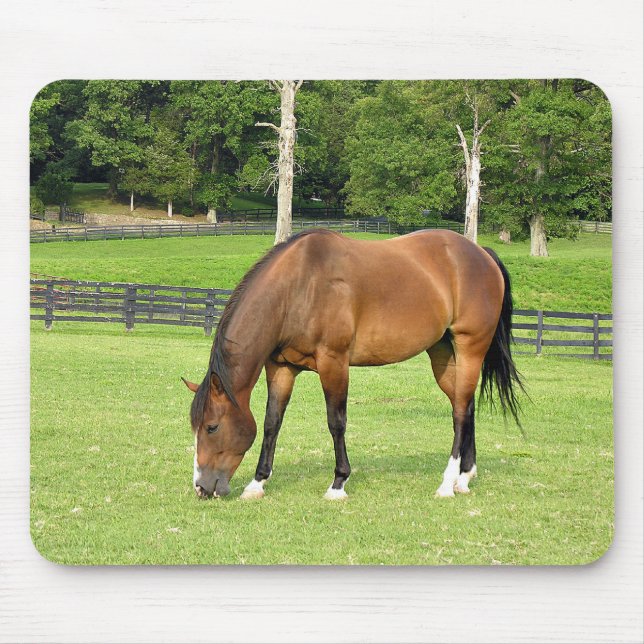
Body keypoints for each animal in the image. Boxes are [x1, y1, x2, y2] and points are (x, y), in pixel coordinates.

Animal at [182, 228, 523, 500]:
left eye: (212, 427)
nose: (201, 487)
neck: (299, 288)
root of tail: (481, 254)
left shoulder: (334, 363)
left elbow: (336, 422)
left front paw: (338, 483)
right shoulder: (281, 368)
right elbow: (271, 423)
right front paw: (257, 483)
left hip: (470, 348)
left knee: (460, 413)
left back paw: (447, 483)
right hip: (443, 354)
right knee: (465, 406)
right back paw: (464, 477)